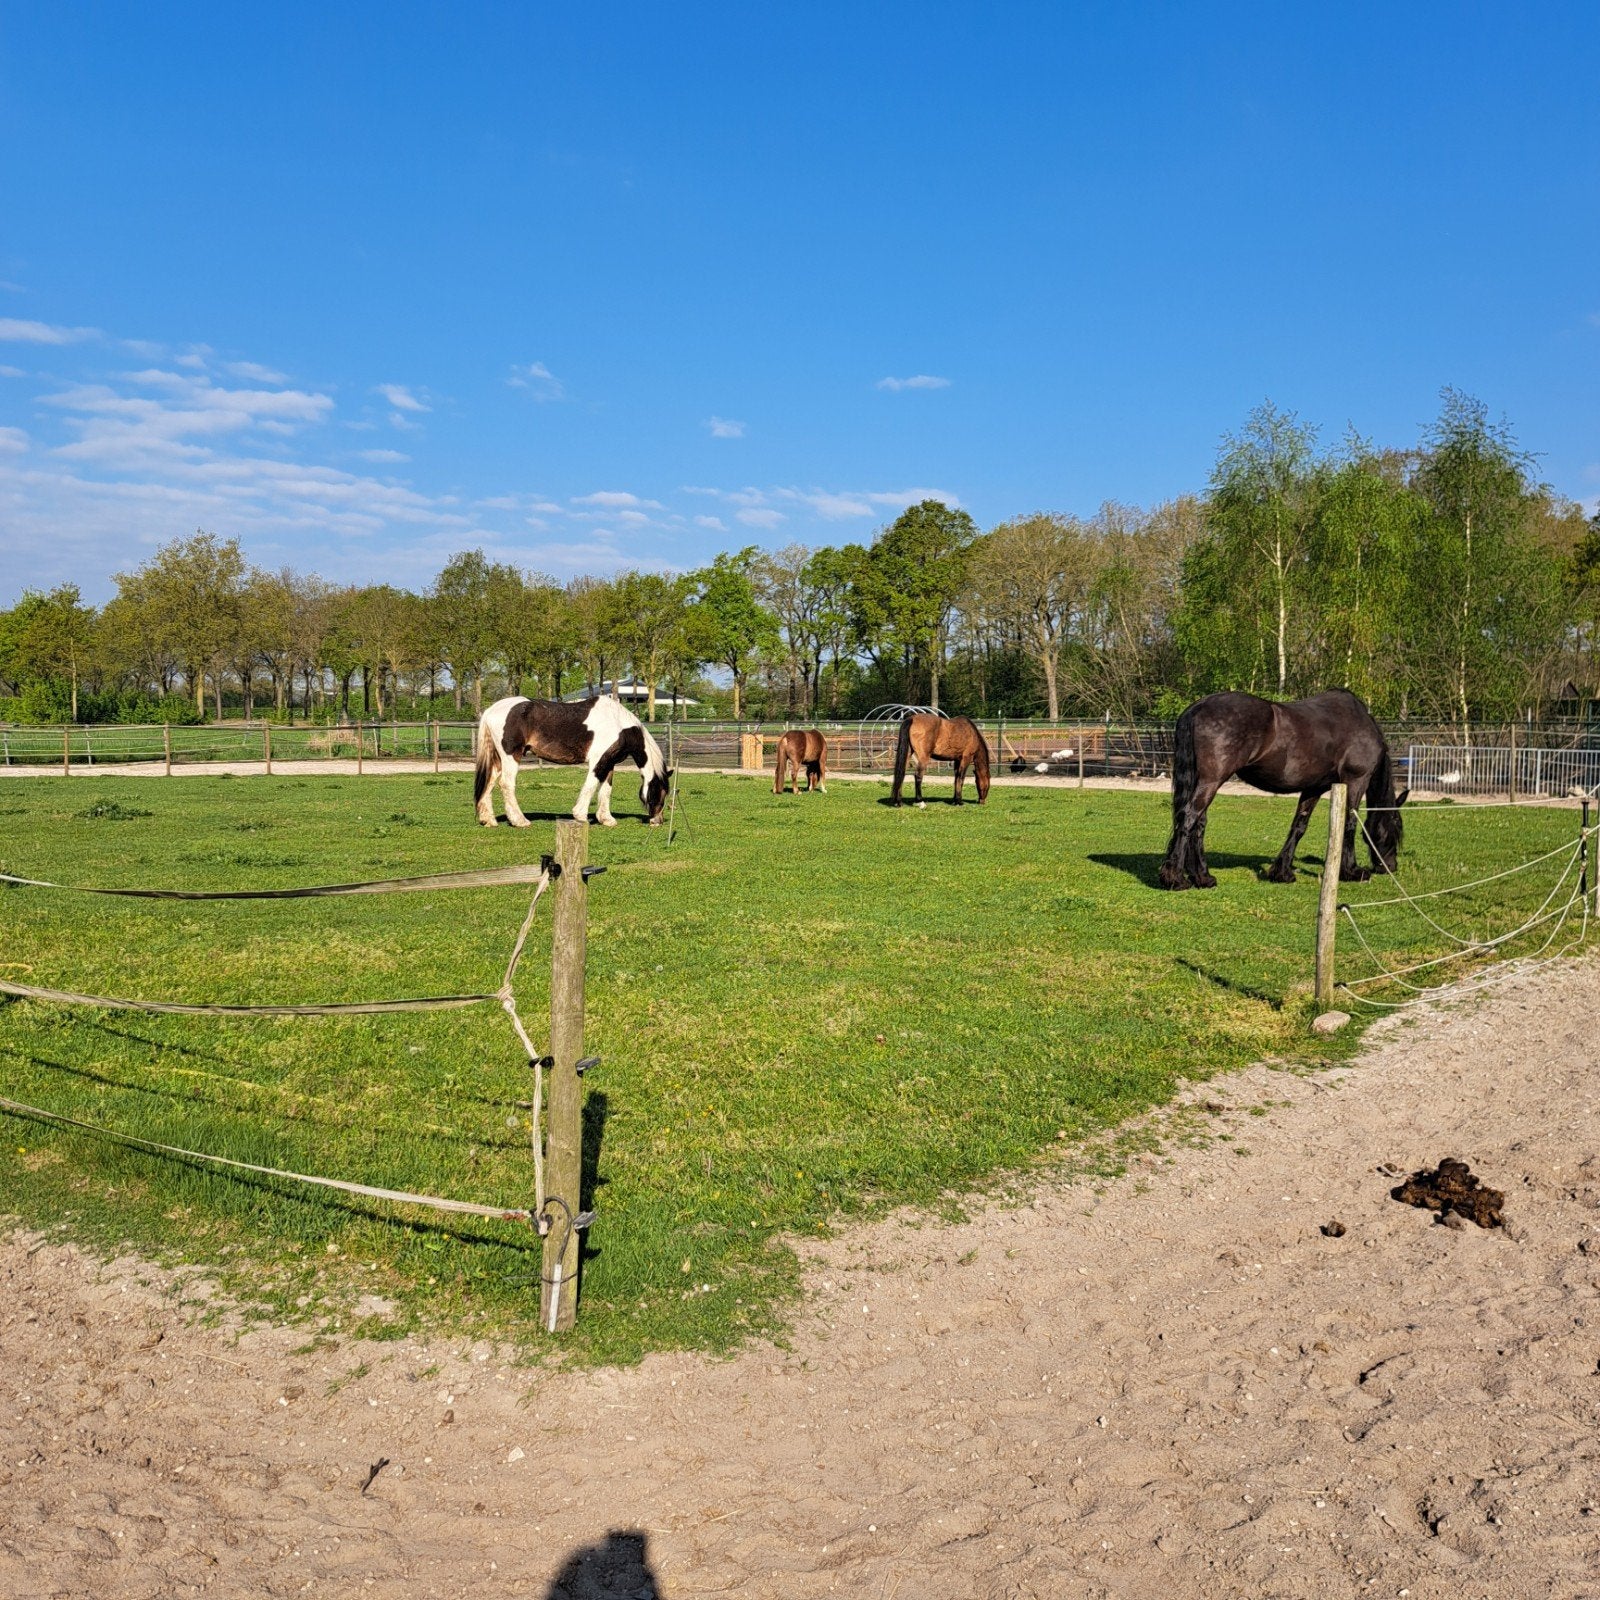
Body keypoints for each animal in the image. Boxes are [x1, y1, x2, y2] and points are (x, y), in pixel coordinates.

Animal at [474, 695, 670, 828]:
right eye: (659, 791)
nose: (657, 820)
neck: (619, 724)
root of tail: (491, 710)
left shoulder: (610, 763)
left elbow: (606, 790)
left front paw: (606, 819)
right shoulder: (598, 761)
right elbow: (591, 785)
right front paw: (580, 815)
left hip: (498, 759)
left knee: (490, 782)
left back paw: (488, 820)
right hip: (511, 756)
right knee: (506, 784)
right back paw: (520, 821)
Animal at [1158, 689, 1407, 890]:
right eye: (1395, 829)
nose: (1390, 866)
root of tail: (1197, 707)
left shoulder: (1315, 787)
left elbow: (1299, 826)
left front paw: (1282, 872)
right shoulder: (1355, 781)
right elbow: (1350, 824)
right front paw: (1352, 871)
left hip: (1204, 782)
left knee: (1198, 823)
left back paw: (1202, 877)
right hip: (1212, 781)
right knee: (1189, 818)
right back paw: (1176, 879)